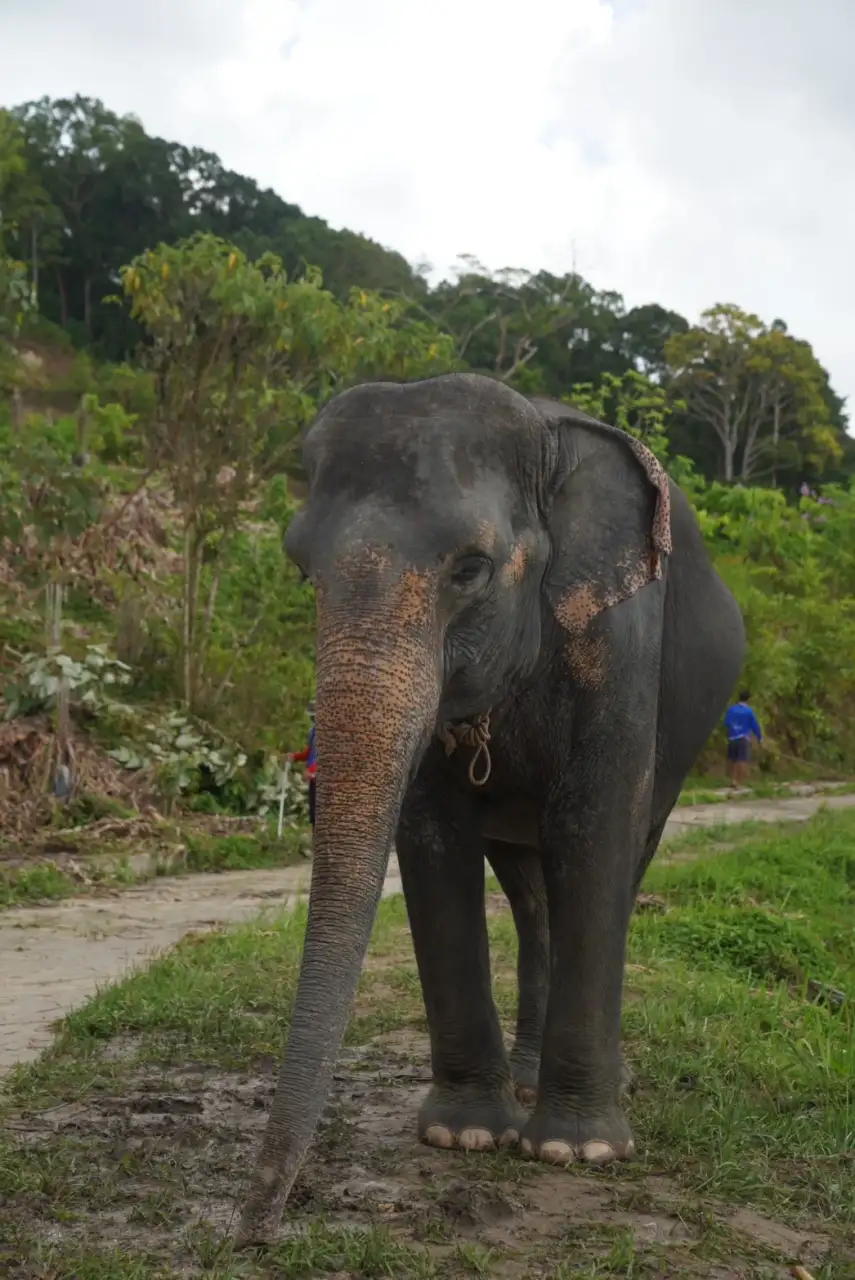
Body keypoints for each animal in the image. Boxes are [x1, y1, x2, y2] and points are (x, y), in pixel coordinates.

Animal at [236, 372, 745, 1244]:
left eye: (470, 569)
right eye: (302, 570)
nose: (253, 1225)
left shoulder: (621, 634)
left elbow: (594, 826)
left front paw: (578, 1153)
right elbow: (432, 840)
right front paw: (466, 1134)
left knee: (615, 862)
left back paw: (583, 1091)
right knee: (531, 892)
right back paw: (530, 1080)